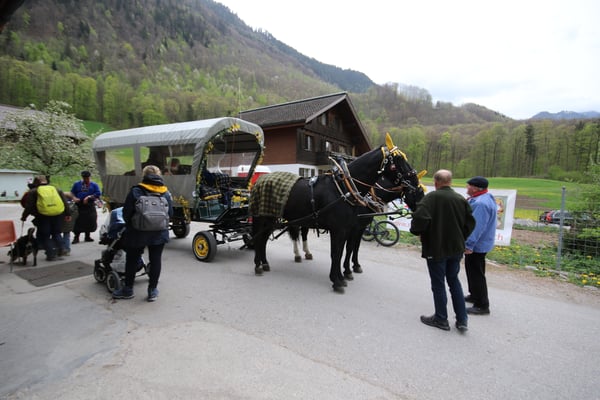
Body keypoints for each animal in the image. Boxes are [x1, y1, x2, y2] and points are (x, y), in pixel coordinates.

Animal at [249, 133, 425, 293]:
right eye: (398, 160)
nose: (416, 184)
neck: (344, 188)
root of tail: (260, 181)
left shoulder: (350, 229)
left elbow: (345, 251)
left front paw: (344, 274)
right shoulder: (341, 229)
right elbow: (338, 253)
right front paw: (338, 280)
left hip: (272, 219)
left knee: (263, 239)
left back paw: (265, 263)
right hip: (262, 218)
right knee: (259, 239)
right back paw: (258, 265)